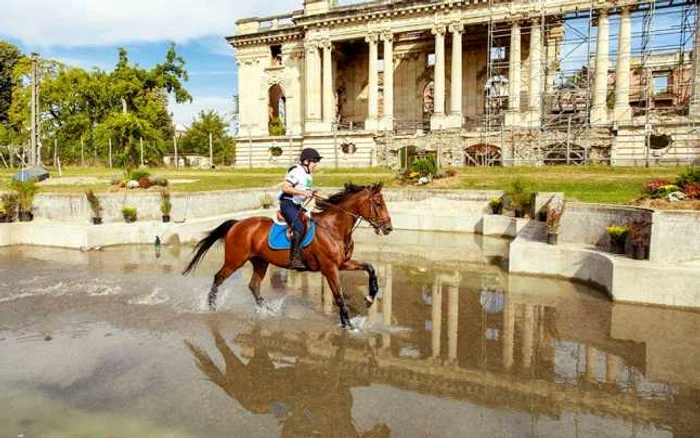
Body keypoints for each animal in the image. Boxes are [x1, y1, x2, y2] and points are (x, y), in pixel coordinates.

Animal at [182, 181, 394, 328]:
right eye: (378, 203)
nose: (388, 228)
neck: (333, 227)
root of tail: (238, 223)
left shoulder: (343, 263)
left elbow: (370, 268)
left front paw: (369, 298)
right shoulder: (329, 268)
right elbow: (339, 295)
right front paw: (348, 325)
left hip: (260, 261)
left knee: (253, 286)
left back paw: (268, 311)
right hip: (235, 260)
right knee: (218, 278)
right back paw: (211, 307)